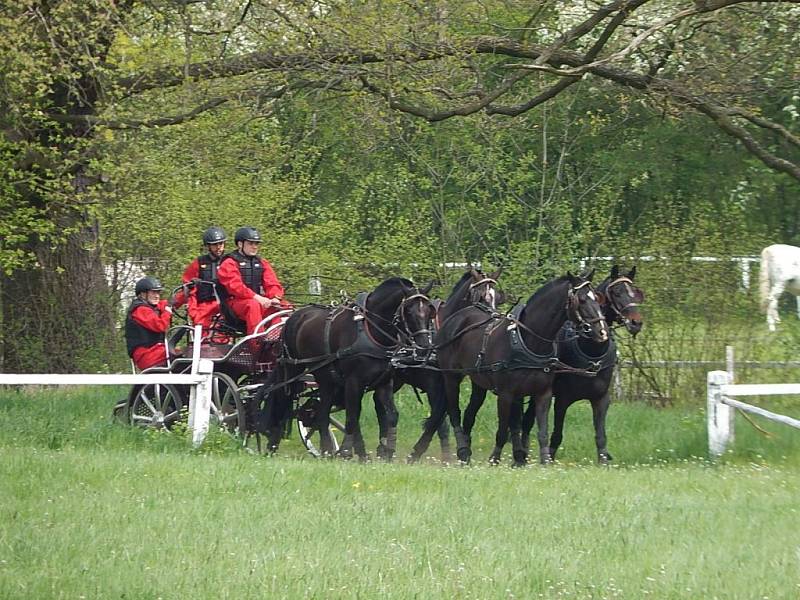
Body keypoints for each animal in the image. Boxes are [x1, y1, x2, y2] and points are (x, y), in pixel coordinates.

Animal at [264, 276, 432, 460]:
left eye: (430, 310)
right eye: (408, 311)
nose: (424, 346)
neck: (371, 332)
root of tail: (293, 316)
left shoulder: (384, 383)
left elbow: (391, 416)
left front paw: (385, 452)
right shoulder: (354, 382)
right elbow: (352, 417)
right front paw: (347, 451)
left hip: (326, 379)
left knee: (322, 413)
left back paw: (326, 450)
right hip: (292, 370)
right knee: (284, 400)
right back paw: (273, 445)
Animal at [438, 272, 608, 464]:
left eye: (597, 298)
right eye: (581, 300)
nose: (602, 332)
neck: (529, 341)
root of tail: (456, 318)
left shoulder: (543, 394)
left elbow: (541, 431)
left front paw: (544, 461)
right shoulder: (505, 394)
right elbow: (503, 430)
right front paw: (495, 459)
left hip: (479, 382)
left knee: (469, 413)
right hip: (451, 377)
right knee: (454, 412)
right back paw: (462, 450)